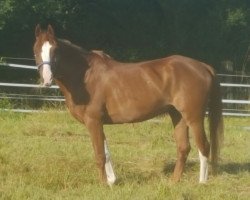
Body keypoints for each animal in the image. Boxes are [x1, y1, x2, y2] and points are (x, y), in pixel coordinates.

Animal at [32, 24, 223, 185]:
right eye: (36, 51)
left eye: (55, 51)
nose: (47, 79)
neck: (84, 77)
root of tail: (202, 66)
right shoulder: (98, 122)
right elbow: (106, 153)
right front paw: (111, 181)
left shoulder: (93, 121)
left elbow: (100, 155)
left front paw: (103, 184)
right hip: (178, 115)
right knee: (184, 148)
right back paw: (174, 182)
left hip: (194, 117)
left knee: (204, 146)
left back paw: (202, 183)